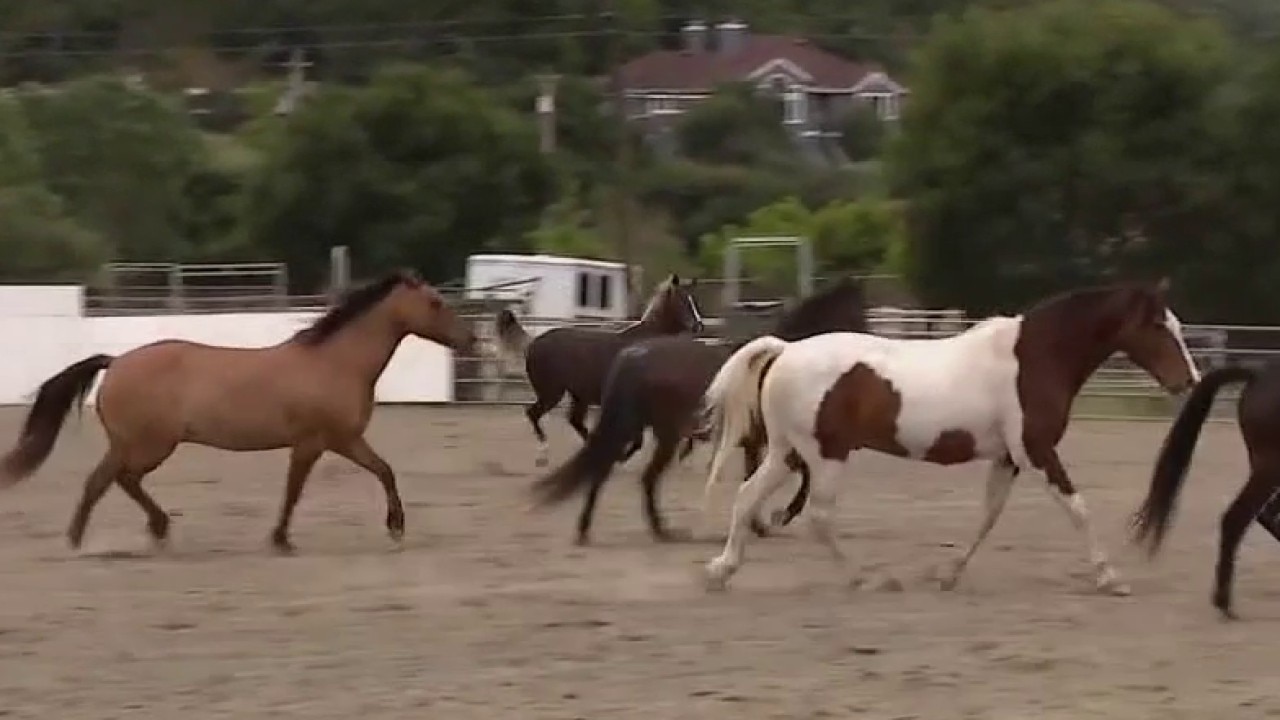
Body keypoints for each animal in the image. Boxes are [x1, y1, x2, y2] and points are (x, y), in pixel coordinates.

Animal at [0, 269, 476, 554]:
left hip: (140, 445)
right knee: (108, 481)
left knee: (116, 481)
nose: (470, 338)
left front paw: (394, 526)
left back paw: (146, 530)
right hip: (148, 444)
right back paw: (85, 541)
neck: (336, 363)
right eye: (435, 302)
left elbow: (384, 471)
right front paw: (282, 539)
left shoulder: (342, 440)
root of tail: (115, 362)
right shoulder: (318, 441)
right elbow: (295, 490)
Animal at [495, 274, 704, 468]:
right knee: (533, 414)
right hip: (551, 393)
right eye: (684, 300)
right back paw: (543, 456)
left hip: (578, 396)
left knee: (575, 422)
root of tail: (532, 343)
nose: (699, 326)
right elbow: (638, 440)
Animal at [529, 276, 869, 545]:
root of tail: (633, 356)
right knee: (642, 476)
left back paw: (590, 528)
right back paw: (661, 529)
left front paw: (761, 523)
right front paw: (779, 516)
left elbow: (761, 478)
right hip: (658, 433)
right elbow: (799, 475)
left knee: (601, 467)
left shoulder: (756, 443)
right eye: (859, 315)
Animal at [698, 279, 1199, 595]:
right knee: (818, 517)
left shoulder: (1008, 458)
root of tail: (785, 350)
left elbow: (988, 516)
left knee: (747, 497)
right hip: (824, 456)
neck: (1036, 357)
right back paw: (868, 579)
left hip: (787, 452)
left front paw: (948, 574)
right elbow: (1077, 509)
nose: (1190, 381)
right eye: (1159, 326)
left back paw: (721, 571)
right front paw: (1110, 578)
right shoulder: (1036, 452)